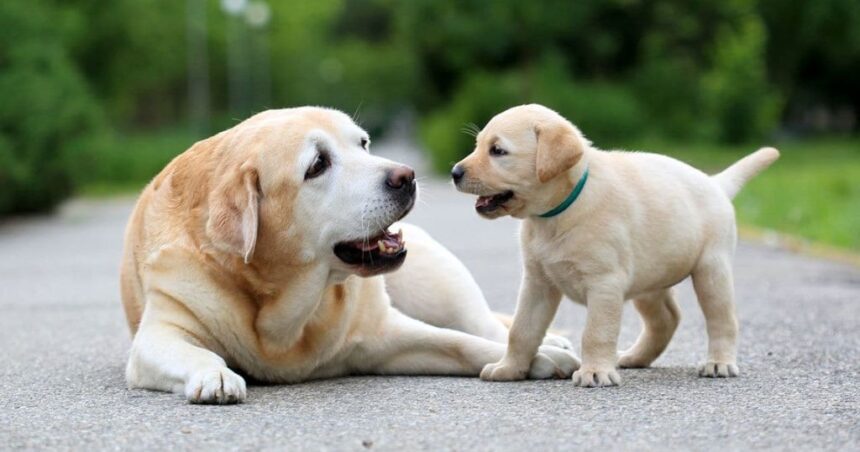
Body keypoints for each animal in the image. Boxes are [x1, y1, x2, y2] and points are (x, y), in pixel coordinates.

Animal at [121, 107, 576, 404]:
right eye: (317, 164)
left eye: (363, 143)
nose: (407, 176)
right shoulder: (158, 335)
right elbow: (194, 351)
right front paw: (215, 373)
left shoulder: (385, 333)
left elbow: (465, 344)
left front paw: (536, 358)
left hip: (438, 281)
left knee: (483, 323)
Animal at [450, 104, 780, 386]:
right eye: (478, 145)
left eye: (498, 151)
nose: (455, 173)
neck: (559, 212)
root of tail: (716, 182)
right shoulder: (537, 283)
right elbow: (522, 330)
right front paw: (509, 368)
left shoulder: (604, 283)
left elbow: (596, 333)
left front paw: (595, 371)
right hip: (649, 283)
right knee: (667, 319)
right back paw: (634, 357)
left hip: (711, 271)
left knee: (722, 319)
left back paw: (719, 363)